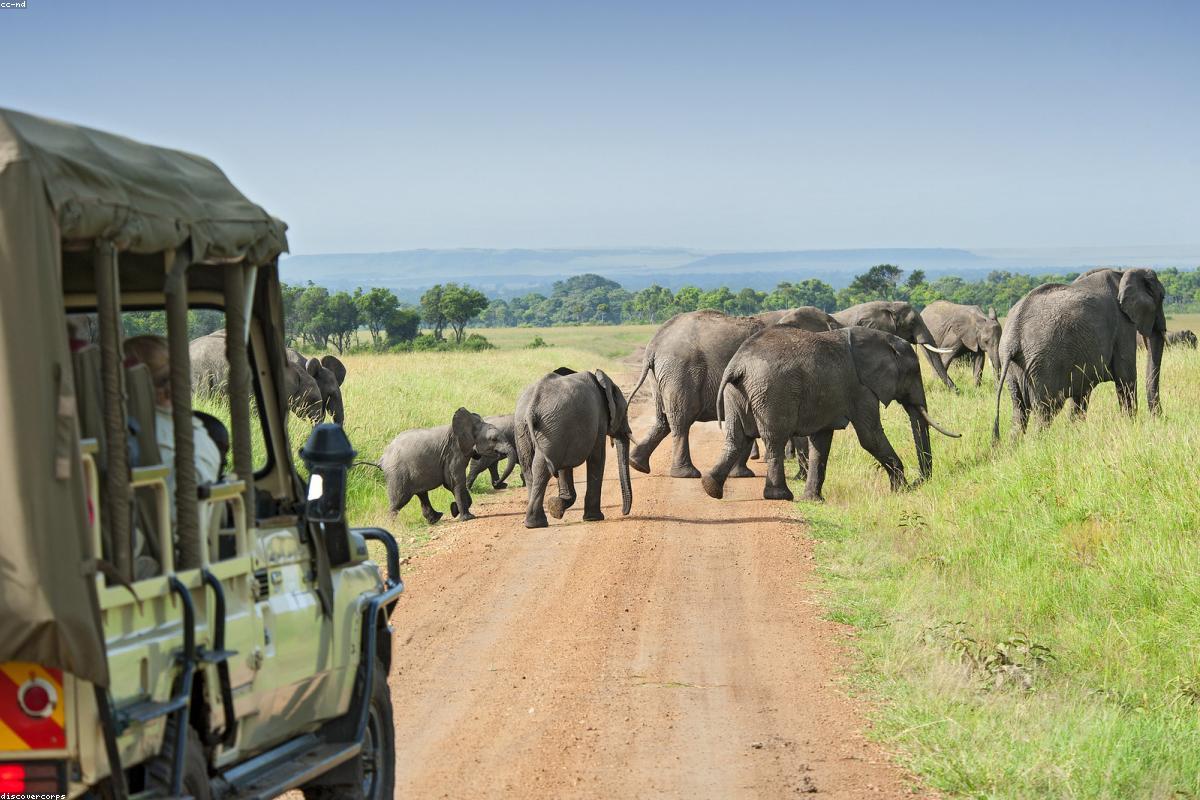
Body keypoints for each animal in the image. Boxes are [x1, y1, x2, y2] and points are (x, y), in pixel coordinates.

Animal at [515, 367, 633, 529]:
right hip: (550, 428)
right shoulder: (599, 420)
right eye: (626, 411)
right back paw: (537, 523)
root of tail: (532, 406)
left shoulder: (566, 433)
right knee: (542, 468)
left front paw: (556, 507)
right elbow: (597, 458)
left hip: (529, 428)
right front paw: (593, 518)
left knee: (530, 469)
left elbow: (564, 468)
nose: (623, 512)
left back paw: (534, 523)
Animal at [626, 310, 764, 478]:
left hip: (660, 375)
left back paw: (637, 464)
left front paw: (740, 474)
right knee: (682, 419)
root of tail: (653, 345)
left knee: (663, 419)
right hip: (680, 372)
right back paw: (686, 474)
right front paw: (742, 474)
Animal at [702, 325, 960, 503]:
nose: (919, 482)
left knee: (736, 438)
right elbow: (870, 437)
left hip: (737, 393)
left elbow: (821, 441)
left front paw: (814, 500)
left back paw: (710, 487)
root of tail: (738, 364)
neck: (882, 340)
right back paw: (780, 496)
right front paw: (901, 491)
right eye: (914, 372)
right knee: (775, 439)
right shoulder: (860, 389)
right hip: (772, 392)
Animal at [993, 268, 1165, 438]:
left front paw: (1074, 432)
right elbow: (1126, 378)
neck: (1122, 273)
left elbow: (1081, 394)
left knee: (1019, 412)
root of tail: (1013, 337)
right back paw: (1038, 441)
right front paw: (1130, 426)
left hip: (1015, 368)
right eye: (1162, 297)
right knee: (1046, 410)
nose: (1159, 418)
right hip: (1043, 366)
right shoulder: (1123, 325)